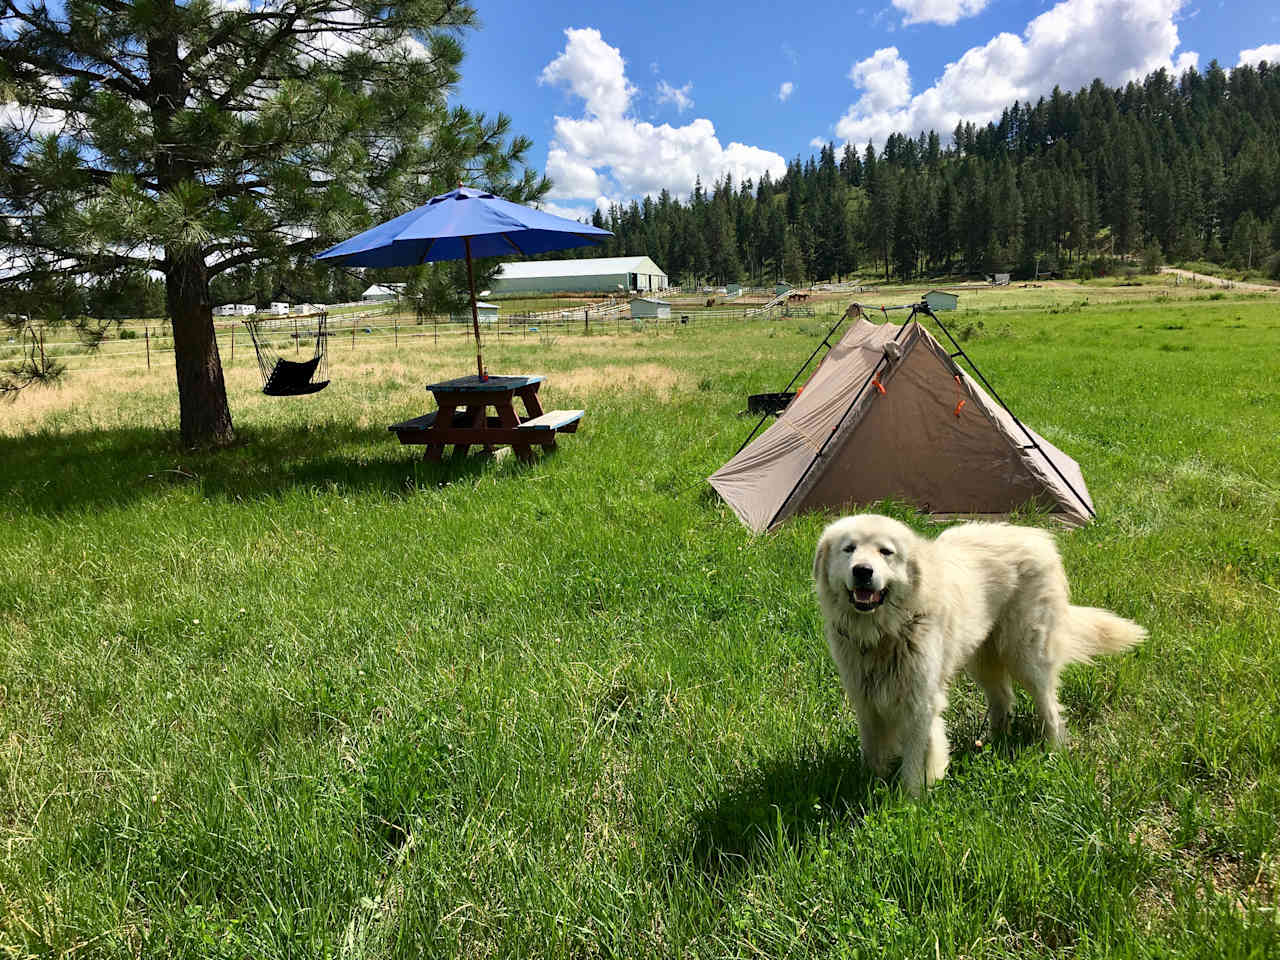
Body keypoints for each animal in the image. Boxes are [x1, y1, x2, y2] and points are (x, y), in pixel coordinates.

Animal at [814, 519, 1146, 798]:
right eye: (849, 549)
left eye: (886, 552)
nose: (862, 571)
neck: (885, 634)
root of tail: (1040, 538)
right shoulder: (866, 700)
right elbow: (873, 752)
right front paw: (871, 784)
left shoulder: (920, 703)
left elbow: (915, 759)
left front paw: (910, 802)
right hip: (984, 660)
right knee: (1003, 700)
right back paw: (992, 742)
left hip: (1027, 657)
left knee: (1049, 708)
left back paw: (1053, 752)